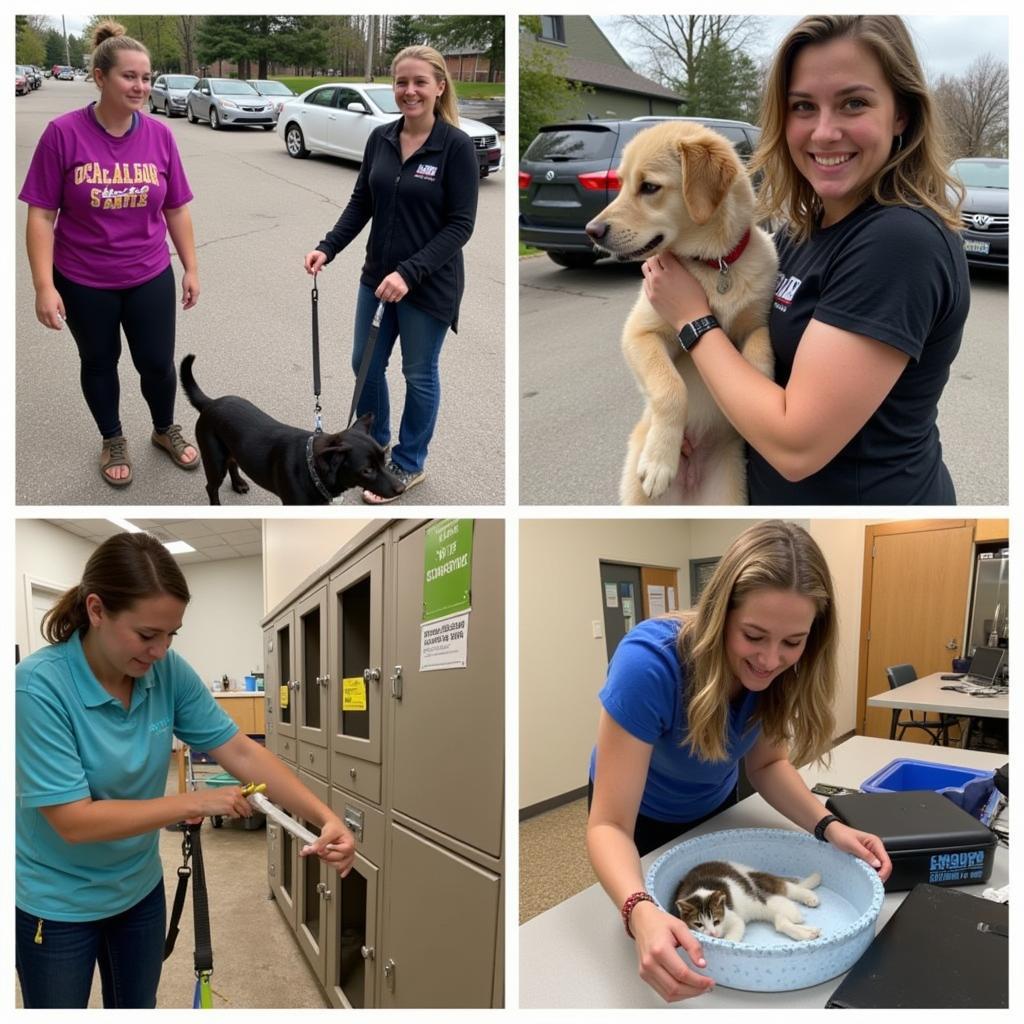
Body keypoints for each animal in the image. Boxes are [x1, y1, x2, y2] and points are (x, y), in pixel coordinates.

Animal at [180, 356, 403, 507]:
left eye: (384, 459)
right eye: (367, 470)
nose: (401, 488)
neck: (311, 469)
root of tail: (211, 403)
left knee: (233, 462)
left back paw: (238, 484)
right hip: (214, 460)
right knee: (211, 486)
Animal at [585, 120, 774, 503]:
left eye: (649, 187)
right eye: (621, 183)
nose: (591, 231)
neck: (715, 264)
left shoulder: (757, 322)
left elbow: (760, 351)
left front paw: (756, 391)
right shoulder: (640, 333)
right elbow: (670, 387)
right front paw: (659, 461)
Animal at [671, 856, 823, 942]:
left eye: (716, 921)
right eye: (698, 924)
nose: (713, 934)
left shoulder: (732, 917)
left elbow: (733, 935)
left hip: (755, 892)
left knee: (785, 887)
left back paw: (809, 895)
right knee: (780, 922)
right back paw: (807, 932)